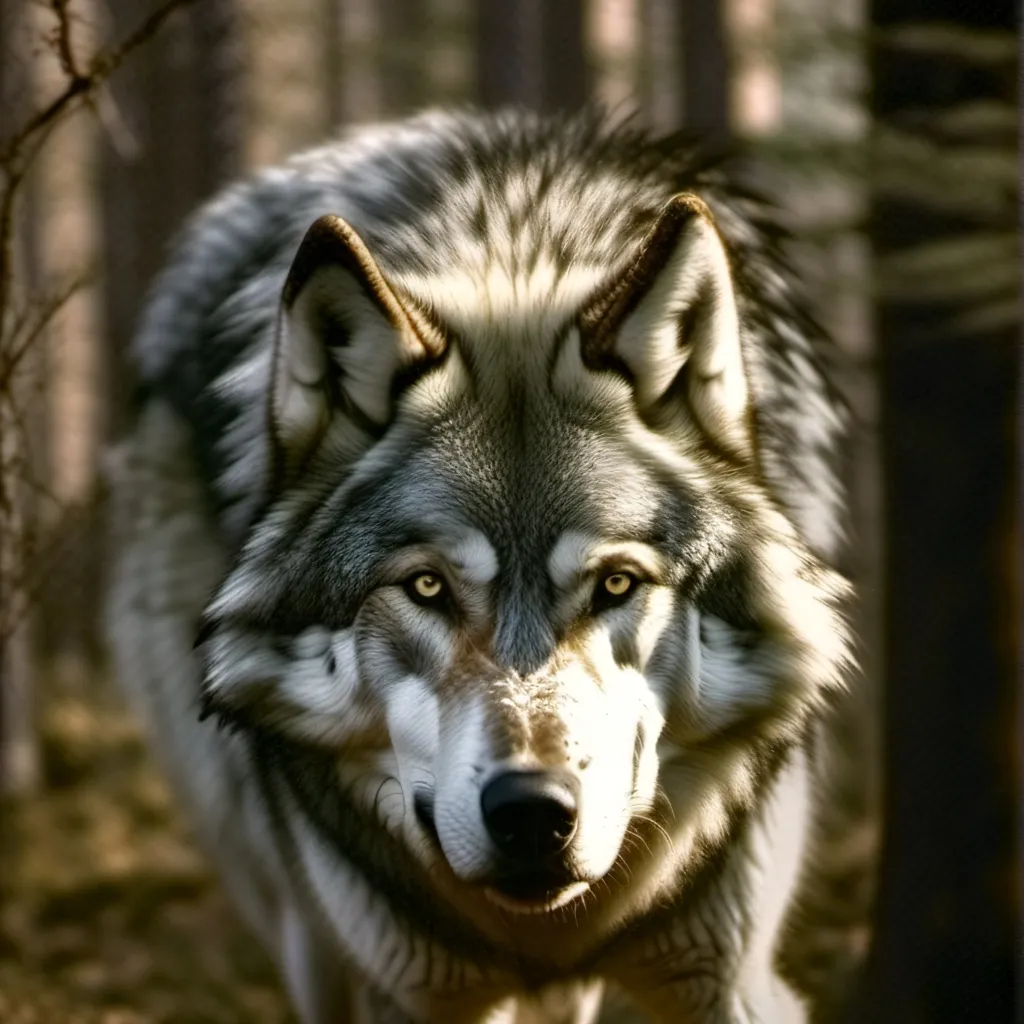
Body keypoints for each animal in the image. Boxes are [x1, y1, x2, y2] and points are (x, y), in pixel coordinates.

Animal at [106, 108, 855, 1024]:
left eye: (617, 584)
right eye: (426, 587)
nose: (533, 813)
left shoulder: (732, 979)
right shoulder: (409, 989)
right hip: (302, 926)